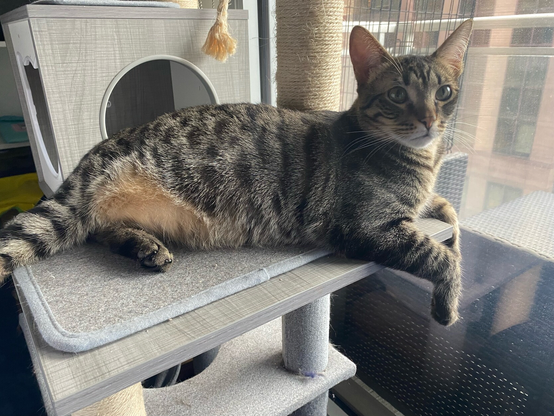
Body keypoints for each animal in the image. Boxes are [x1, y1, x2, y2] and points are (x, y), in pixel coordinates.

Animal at [0, 18, 472, 324]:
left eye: (444, 92)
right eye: (397, 95)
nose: (429, 120)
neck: (421, 162)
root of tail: (86, 162)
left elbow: (449, 215)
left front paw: (452, 227)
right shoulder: (366, 226)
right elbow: (441, 255)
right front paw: (448, 306)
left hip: (101, 218)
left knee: (101, 231)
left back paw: (146, 248)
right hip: (81, 206)